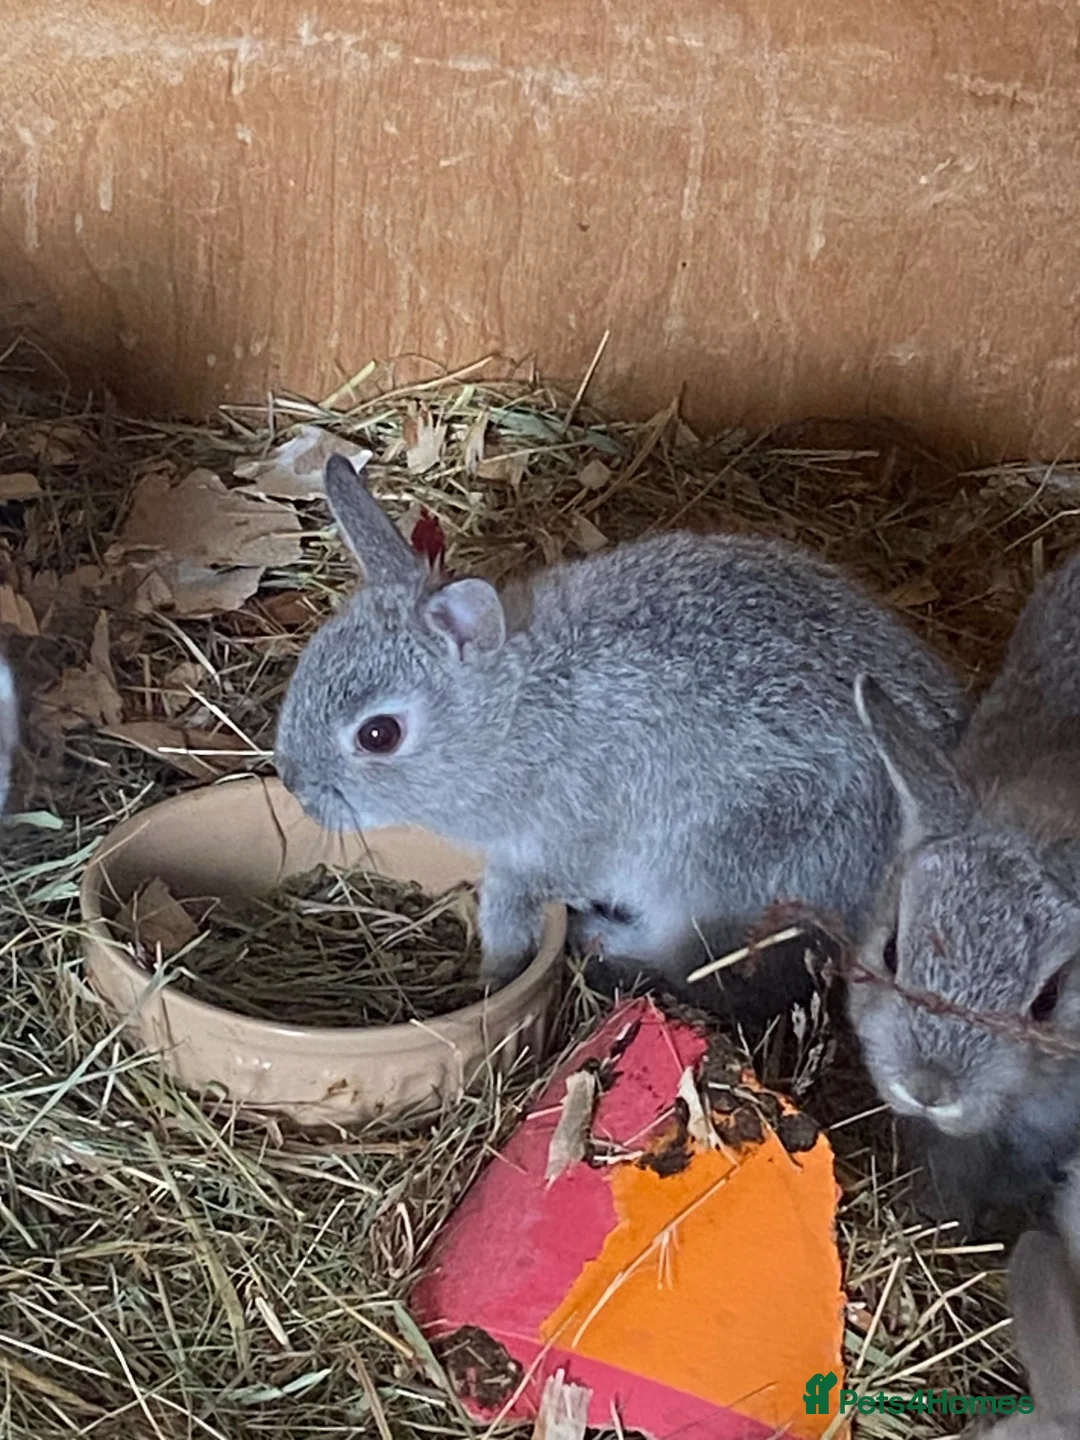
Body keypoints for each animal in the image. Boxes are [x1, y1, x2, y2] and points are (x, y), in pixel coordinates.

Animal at [275, 453, 967, 986]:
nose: (294, 785)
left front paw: (495, 971)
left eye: (378, 734)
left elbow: (511, 901)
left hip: (716, 870)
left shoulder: (553, 844)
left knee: (684, 954)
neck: (514, 716)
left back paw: (599, 938)